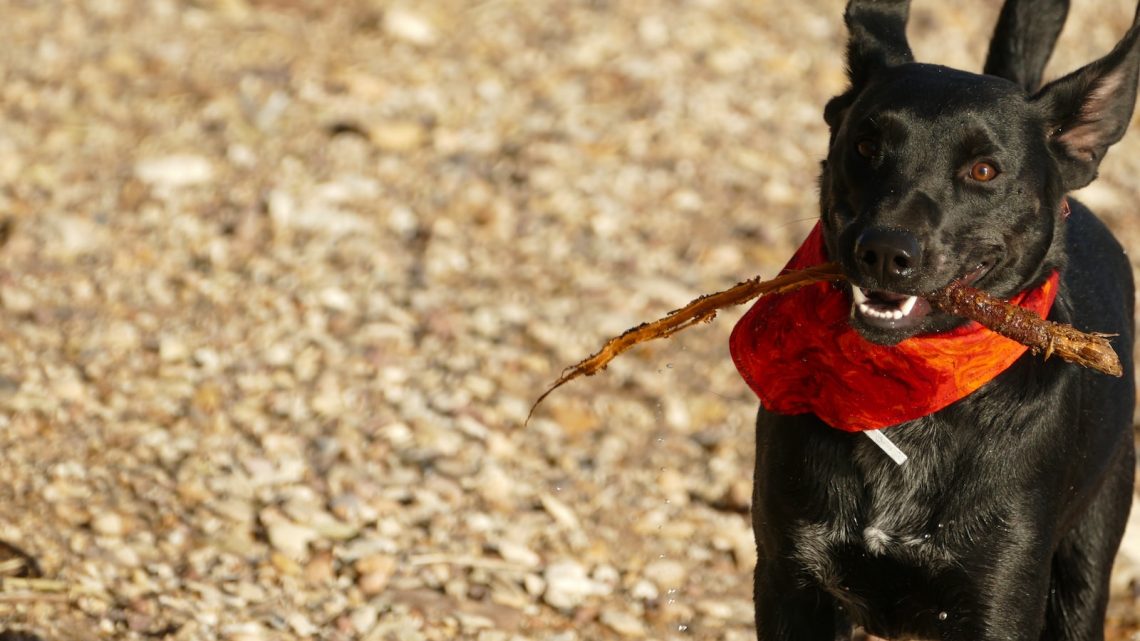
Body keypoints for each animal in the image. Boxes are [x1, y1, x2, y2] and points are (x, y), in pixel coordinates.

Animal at [752, 2, 1135, 634]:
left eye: (983, 171)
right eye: (866, 146)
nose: (886, 250)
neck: (915, 394)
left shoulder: (1001, 598)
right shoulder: (791, 580)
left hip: (1087, 558)